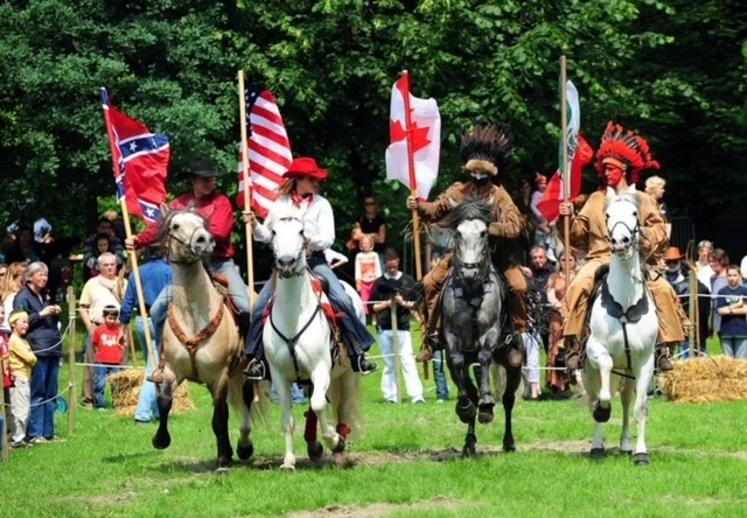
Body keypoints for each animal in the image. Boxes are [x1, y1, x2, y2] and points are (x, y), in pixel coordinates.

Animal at [150, 209, 262, 474]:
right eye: (175, 225)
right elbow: (164, 401)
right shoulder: (172, 371)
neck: (193, 313)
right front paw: (161, 439)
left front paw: (222, 460)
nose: (204, 240)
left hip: (242, 370)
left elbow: (219, 418)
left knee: (245, 400)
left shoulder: (218, 375)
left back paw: (243, 448)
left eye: (202, 223)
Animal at [266, 214, 362, 472]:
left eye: (301, 232)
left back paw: (339, 450)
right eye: (274, 232)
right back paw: (314, 446)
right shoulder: (279, 376)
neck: (293, 317)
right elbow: (287, 418)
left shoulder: (321, 369)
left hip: (347, 375)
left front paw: (334, 440)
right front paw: (288, 461)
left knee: (341, 409)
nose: (286, 262)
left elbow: (319, 405)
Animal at [442, 201, 524, 458]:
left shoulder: (490, 333)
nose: (469, 272)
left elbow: (485, 356)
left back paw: (508, 441)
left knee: (508, 399)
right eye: (458, 233)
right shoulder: (452, 337)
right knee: (469, 385)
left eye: (484, 233)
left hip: (513, 363)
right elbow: (458, 363)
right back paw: (469, 443)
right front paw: (465, 407)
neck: (471, 290)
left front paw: (487, 403)